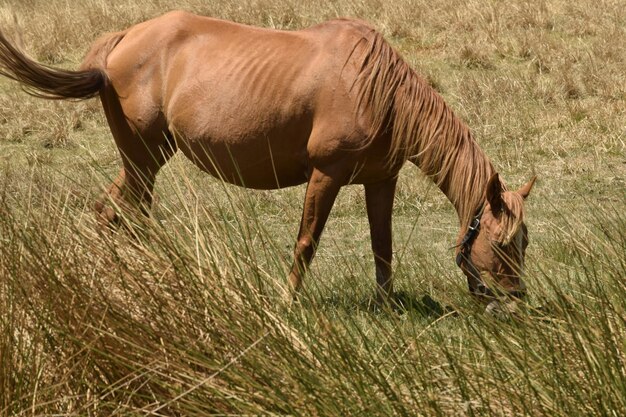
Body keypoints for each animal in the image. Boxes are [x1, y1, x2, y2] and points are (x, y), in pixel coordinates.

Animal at [1, 11, 536, 312]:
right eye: (502, 244)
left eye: (524, 243)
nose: (514, 303)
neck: (377, 90)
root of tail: (124, 37)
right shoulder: (326, 176)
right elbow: (306, 243)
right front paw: (287, 301)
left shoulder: (380, 181)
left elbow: (381, 248)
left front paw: (387, 308)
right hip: (144, 160)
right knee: (127, 217)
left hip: (144, 160)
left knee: (110, 215)